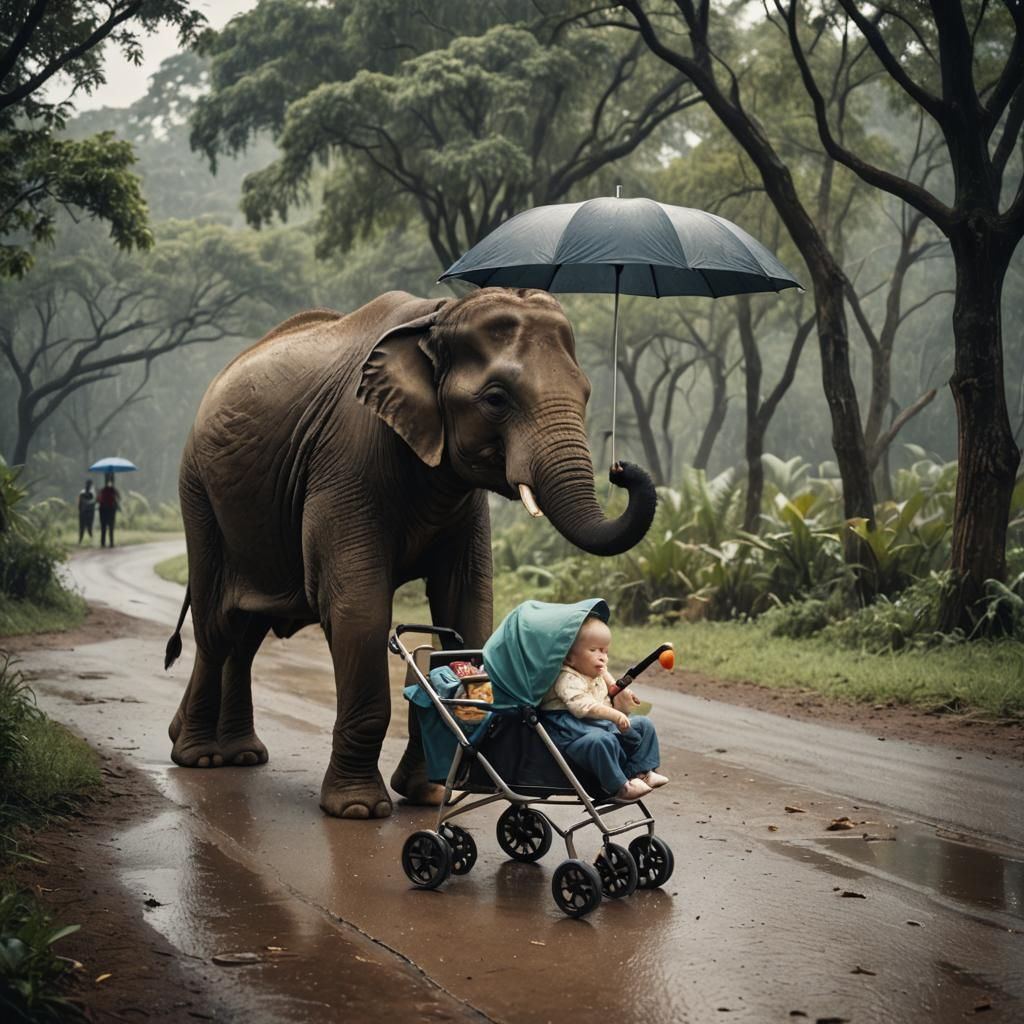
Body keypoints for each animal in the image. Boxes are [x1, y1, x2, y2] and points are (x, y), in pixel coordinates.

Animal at [164, 287, 657, 819]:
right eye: (496, 399)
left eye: (585, 393)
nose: (621, 470)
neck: (437, 316)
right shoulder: (346, 459)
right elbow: (358, 608)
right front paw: (358, 810)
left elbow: (466, 604)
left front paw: (428, 794)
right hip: (198, 491)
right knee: (217, 627)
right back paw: (202, 757)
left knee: (247, 632)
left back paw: (239, 753)